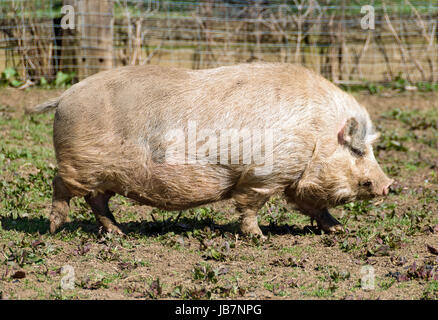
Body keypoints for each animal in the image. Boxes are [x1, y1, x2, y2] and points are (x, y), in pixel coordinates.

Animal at [30, 63, 394, 238]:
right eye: (358, 150)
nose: (390, 185)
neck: (317, 132)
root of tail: (63, 98)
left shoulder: (294, 178)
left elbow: (313, 206)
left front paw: (339, 230)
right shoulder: (264, 174)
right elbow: (250, 205)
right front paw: (259, 237)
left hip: (105, 174)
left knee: (97, 200)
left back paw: (119, 233)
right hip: (79, 163)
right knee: (60, 185)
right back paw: (54, 228)